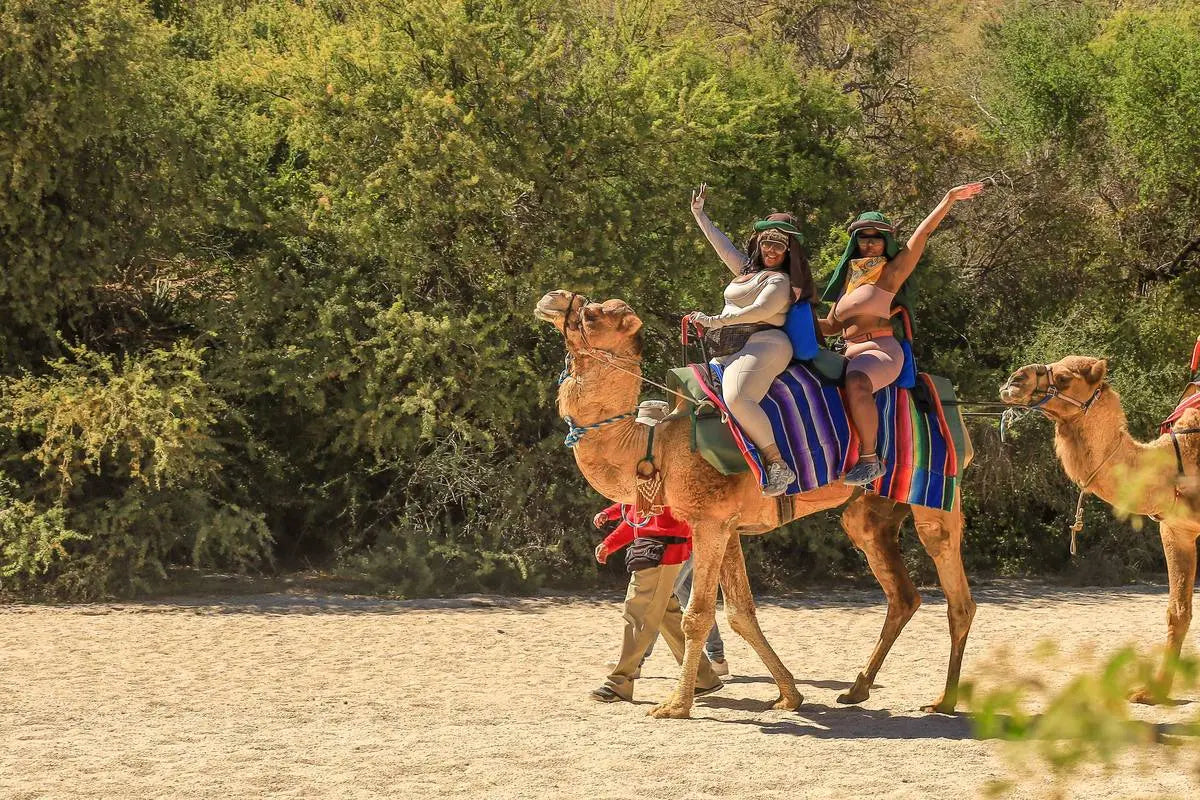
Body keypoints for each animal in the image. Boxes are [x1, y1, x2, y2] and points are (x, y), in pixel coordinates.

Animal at [535, 289, 977, 718]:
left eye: (593, 313)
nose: (552, 298)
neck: (657, 445)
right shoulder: (727, 525)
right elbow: (740, 613)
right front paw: (789, 696)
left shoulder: (710, 522)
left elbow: (698, 615)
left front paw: (675, 705)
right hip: (870, 510)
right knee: (901, 593)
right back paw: (857, 689)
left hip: (937, 496)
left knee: (957, 596)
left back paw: (944, 701)